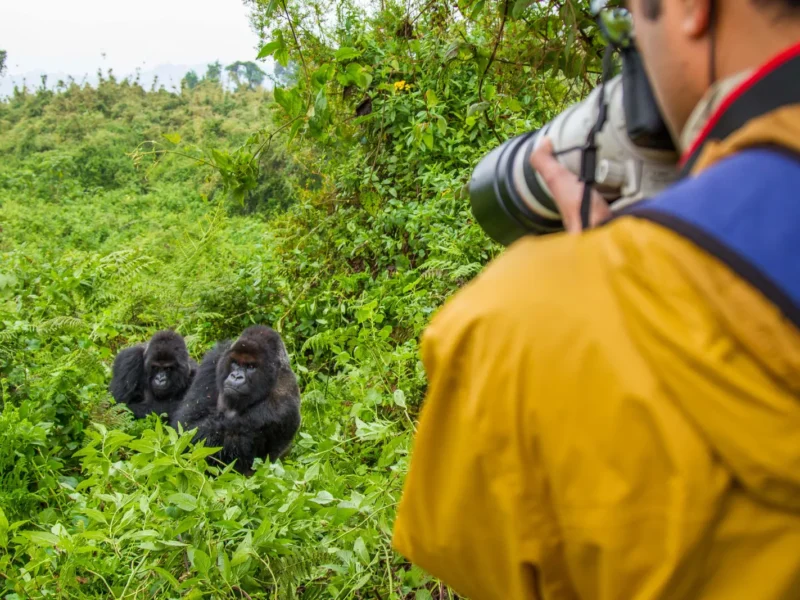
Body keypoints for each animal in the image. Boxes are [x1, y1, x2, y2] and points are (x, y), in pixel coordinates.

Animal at [170, 326, 302, 476]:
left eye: (251, 366)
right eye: (235, 363)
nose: (236, 376)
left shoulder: (282, 404)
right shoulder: (215, 359)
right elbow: (188, 423)